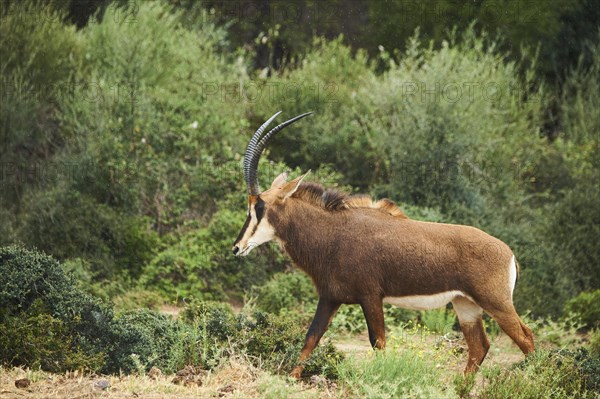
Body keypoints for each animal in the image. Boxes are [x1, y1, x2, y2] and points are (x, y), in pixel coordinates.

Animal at [232, 111, 536, 378]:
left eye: (259, 207)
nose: (237, 247)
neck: (333, 233)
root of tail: (508, 253)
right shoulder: (330, 297)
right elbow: (311, 338)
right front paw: (292, 378)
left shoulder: (370, 297)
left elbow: (377, 341)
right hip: (466, 305)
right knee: (479, 347)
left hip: (496, 302)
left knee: (526, 338)